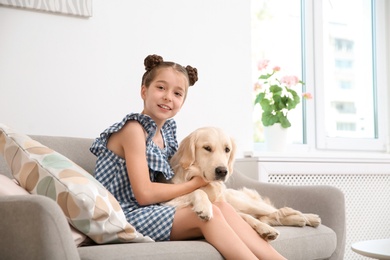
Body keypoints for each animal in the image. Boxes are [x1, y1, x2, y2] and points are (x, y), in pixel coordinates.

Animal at [166, 128, 322, 242]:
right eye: (207, 148)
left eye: (227, 149)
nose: (222, 171)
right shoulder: (168, 202)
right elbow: (198, 191)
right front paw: (204, 207)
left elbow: (249, 218)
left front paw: (264, 229)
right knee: (271, 214)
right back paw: (300, 219)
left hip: (246, 203)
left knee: (275, 210)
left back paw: (309, 217)